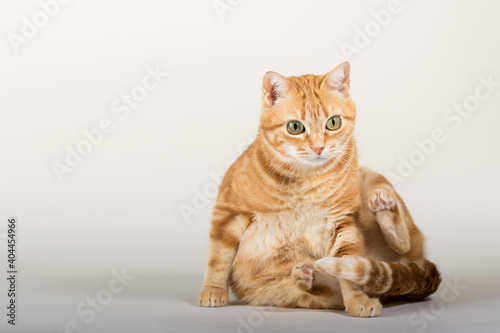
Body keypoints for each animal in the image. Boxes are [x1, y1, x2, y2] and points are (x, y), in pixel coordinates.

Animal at [197, 63, 440, 316]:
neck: (304, 183)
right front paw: (213, 290)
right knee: (320, 291)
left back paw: (384, 208)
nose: (319, 147)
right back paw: (305, 277)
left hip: (372, 179)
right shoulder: (229, 212)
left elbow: (350, 271)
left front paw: (358, 301)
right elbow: (218, 258)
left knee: (404, 244)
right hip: (284, 293)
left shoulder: (343, 223)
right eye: (295, 127)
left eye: (333, 122)